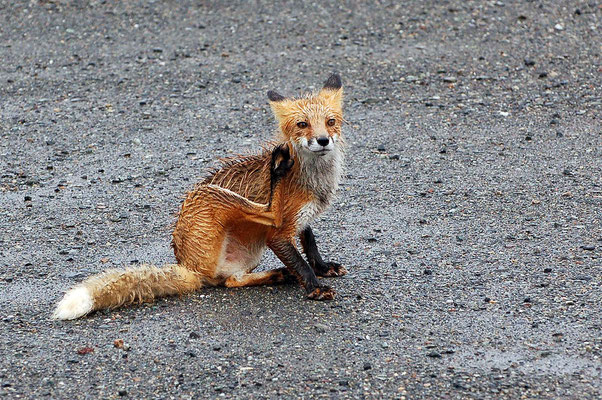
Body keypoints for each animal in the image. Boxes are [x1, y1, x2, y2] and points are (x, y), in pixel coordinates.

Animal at [54, 73, 350, 320]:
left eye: (330, 122)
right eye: (303, 124)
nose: (323, 140)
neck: (313, 180)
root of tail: (188, 267)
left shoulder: (302, 218)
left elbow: (310, 243)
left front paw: (322, 267)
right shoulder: (279, 233)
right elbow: (300, 262)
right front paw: (315, 287)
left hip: (246, 254)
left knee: (230, 281)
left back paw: (277, 274)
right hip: (213, 195)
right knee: (269, 212)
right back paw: (276, 170)